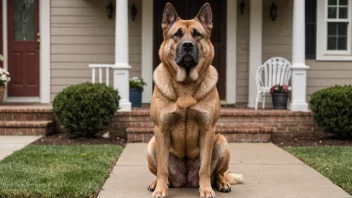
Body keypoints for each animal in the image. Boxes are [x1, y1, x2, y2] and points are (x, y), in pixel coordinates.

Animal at [147, 3, 243, 198]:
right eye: (177, 34)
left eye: (197, 34)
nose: (187, 45)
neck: (186, 85)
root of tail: (185, 181)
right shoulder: (161, 129)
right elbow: (162, 169)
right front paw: (160, 190)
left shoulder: (208, 130)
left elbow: (204, 168)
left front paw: (206, 190)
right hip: (152, 144)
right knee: (163, 172)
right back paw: (157, 184)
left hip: (221, 142)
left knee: (218, 173)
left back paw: (222, 183)